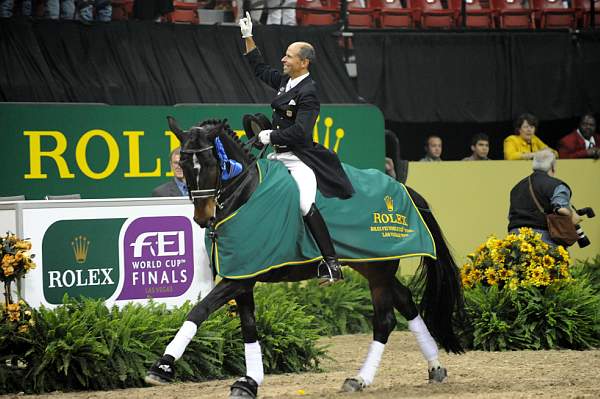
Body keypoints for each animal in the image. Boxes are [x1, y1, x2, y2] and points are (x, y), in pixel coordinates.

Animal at [144, 117, 464, 398]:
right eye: (184, 166)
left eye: (211, 164)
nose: (202, 217)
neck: (245, 194)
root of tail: (403, 188)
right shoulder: (242, 275)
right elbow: (249, 329)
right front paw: (249, 382)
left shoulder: (240, 278)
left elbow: (200, 310)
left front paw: (162, 367)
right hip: (372, 266)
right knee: (406, 300)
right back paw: (435, 366)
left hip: (379, 271)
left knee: (384, 321)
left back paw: (359, 379)